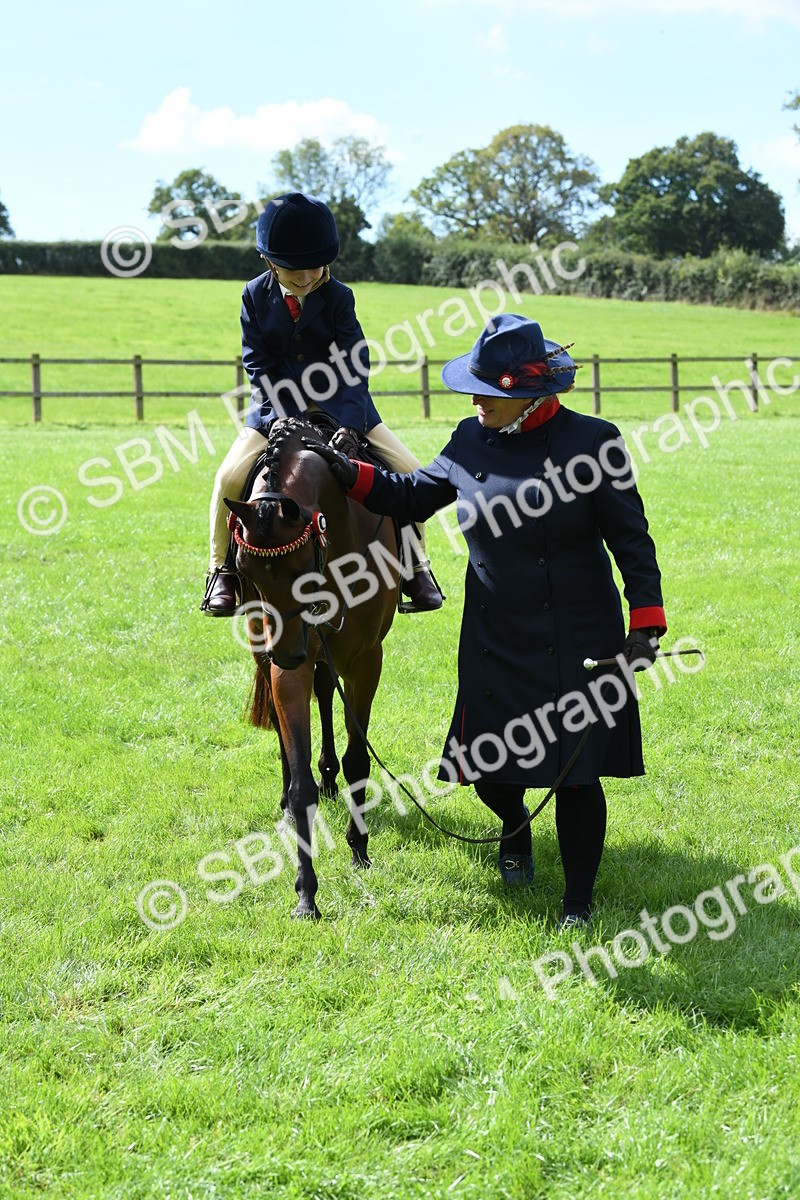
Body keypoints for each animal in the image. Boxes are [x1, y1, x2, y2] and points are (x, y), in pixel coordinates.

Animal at [223, 417, 400, 920]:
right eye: (246, 570)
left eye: (302, 569)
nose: (286, 652)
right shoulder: (288, 665)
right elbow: (300, 774)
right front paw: (306, 893)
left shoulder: (366, 660)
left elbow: (359, 758)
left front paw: (359, 849)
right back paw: (293, 796)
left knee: (325, 691)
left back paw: (330, 776)